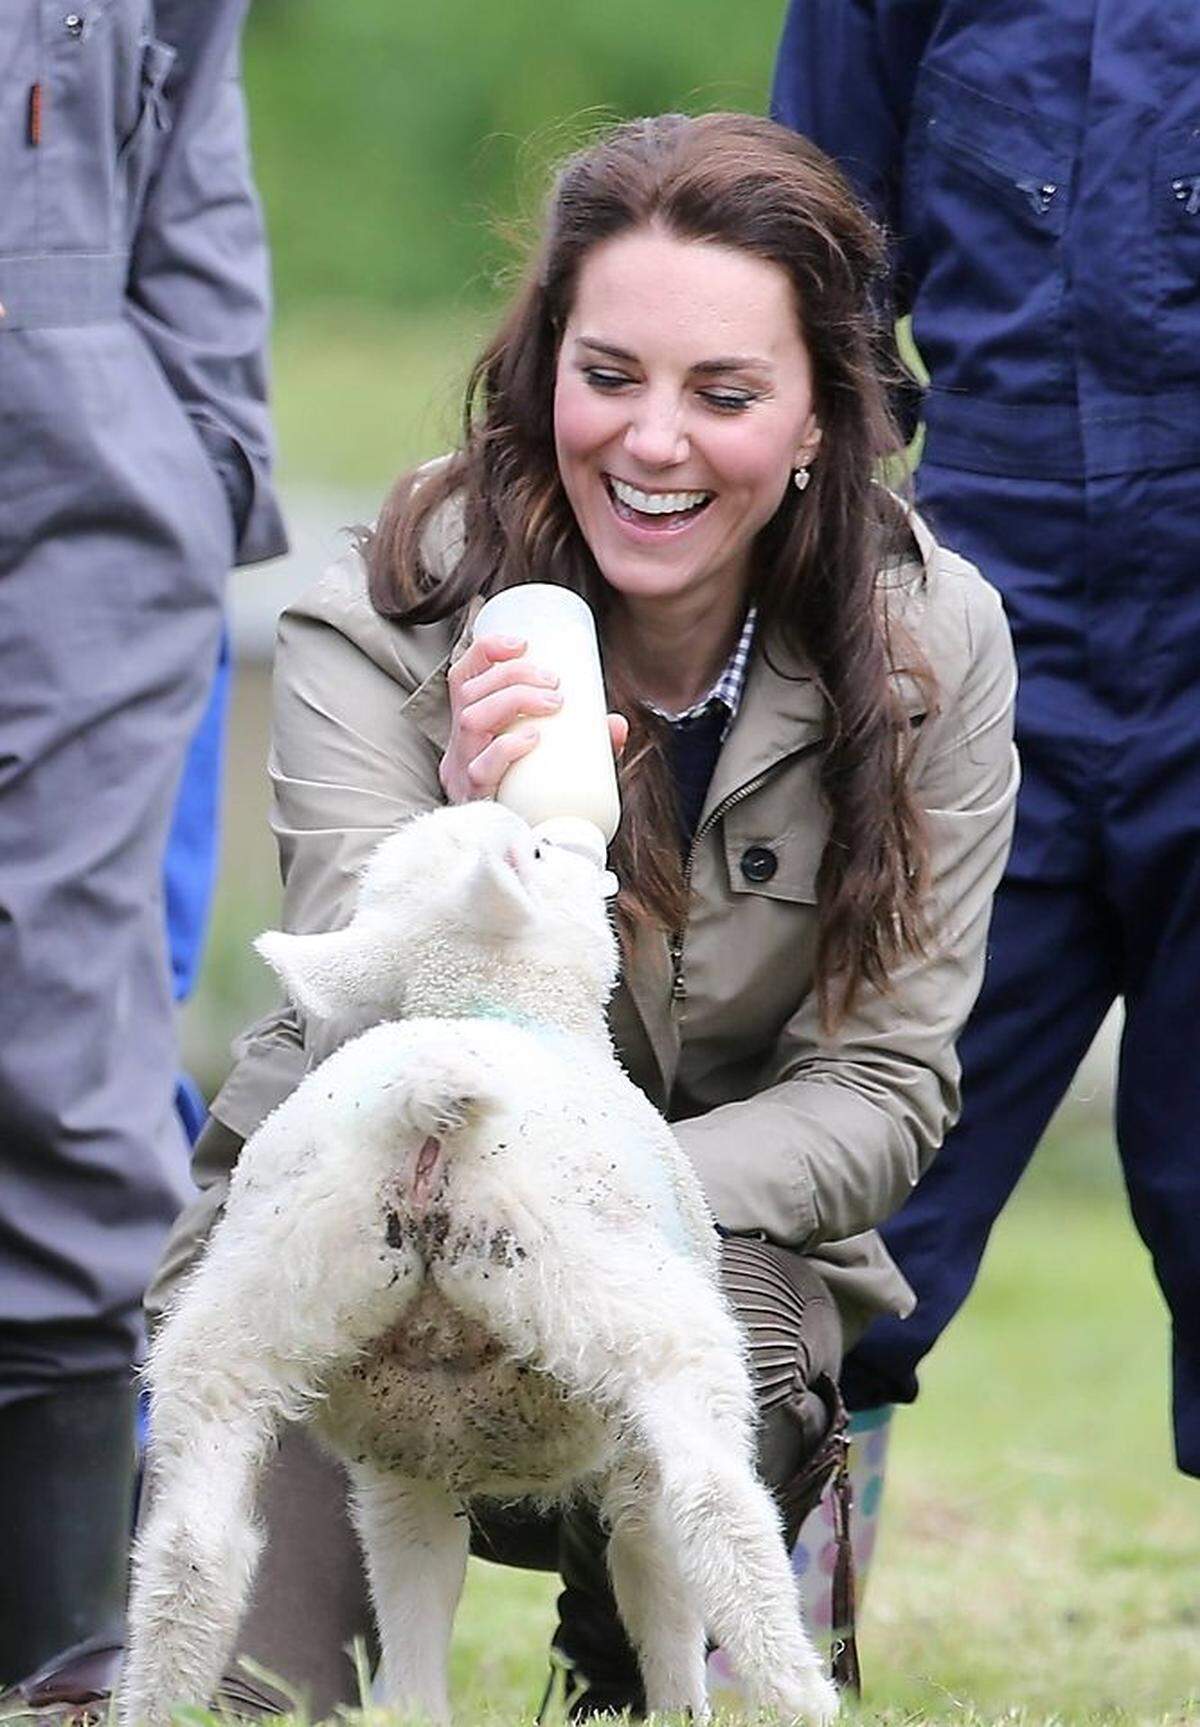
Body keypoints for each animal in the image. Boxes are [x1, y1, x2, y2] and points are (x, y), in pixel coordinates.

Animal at [119, 801, 835, 1727]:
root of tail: (422, 1099)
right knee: (713, 1504)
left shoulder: (404, 1462)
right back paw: (800, 1690)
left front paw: (417, 1705)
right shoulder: (618, 1450)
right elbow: (653, 1566)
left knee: (191, 1544)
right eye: (533, 851)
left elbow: (412, 1583)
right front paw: (680, 1706)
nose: (573, 832)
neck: (495, 1002)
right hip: (620, 1300)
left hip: (252, 1305)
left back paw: (158, 1693)